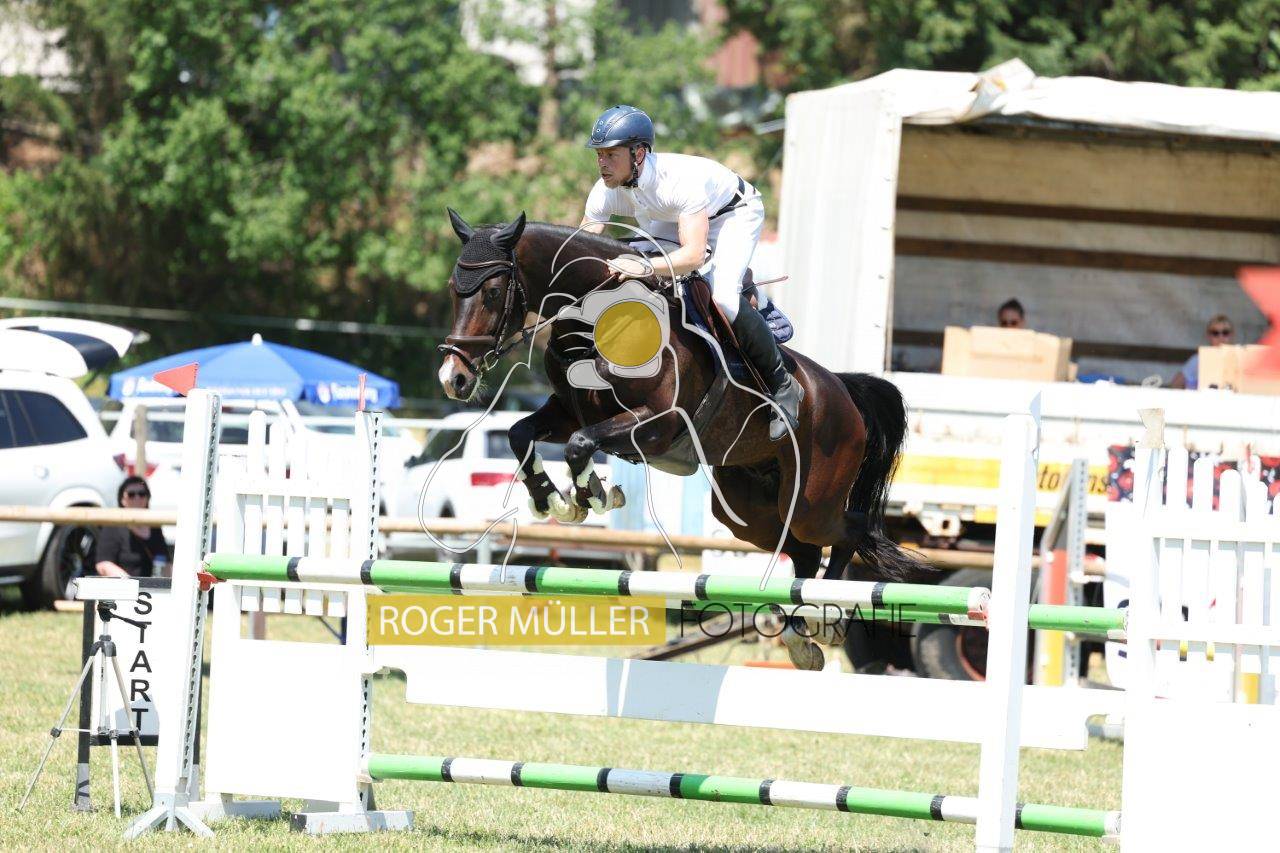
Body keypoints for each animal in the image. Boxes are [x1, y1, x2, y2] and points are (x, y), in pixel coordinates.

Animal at [436, 210, 927, 668]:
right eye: (452, 288)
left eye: (492, 292)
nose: (453, 378)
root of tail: (842, 390)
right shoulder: (568, 411)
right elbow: (523, 434)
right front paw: (557, 501)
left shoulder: (658, 423)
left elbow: (580, 443)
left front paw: (594, 494)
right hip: (747, 510)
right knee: (802, 554)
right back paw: (799, 637)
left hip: (813, 499)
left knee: (848, 532)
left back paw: (827, 620)